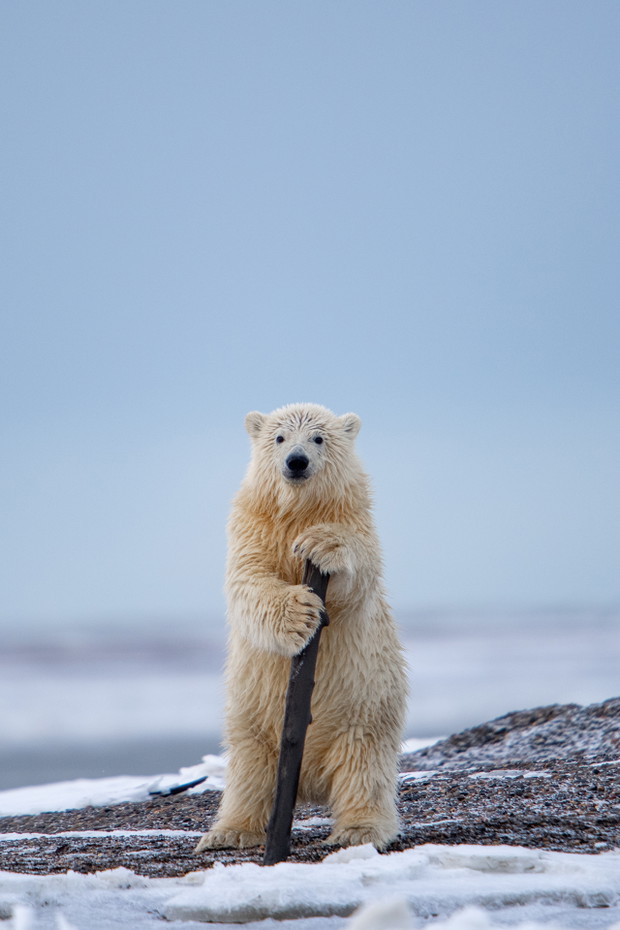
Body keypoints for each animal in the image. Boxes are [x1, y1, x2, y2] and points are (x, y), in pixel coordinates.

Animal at [195, 403, 407, 853]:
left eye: (318, 438)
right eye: (279, 438)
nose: (296, 461)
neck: (298, 511)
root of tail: (309, 782)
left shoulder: (356, 522)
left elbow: (356, 574)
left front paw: (320, 544)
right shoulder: (253, 528)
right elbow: (249, 581)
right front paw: (299, 614)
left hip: (367, 707)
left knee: (364, 767)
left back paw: (359, 829)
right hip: (252, 716)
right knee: (248, 771)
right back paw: (229, 831)